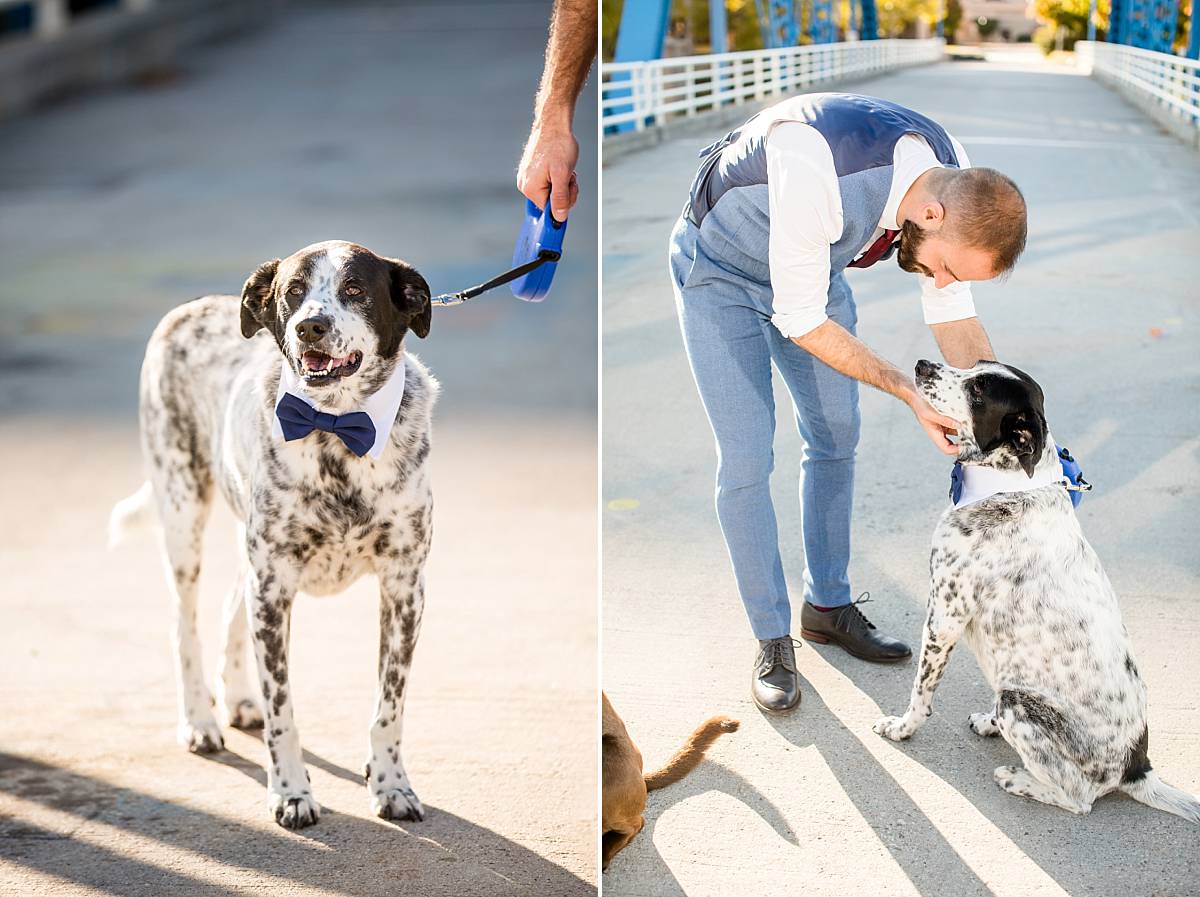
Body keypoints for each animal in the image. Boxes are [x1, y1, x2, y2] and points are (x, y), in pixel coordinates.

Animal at [110, 238, 439, 825]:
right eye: (294, 291)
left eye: (355, 289)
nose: (309, 326)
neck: (336, 428)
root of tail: (190, 307)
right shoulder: (274, 590)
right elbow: (282, 712)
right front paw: (291, 792)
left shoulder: (404, 590)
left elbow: (389, 707)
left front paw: (391, 784)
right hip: (184, 512)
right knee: (184, 624)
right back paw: (199, 720)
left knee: (228, 604)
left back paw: (238, 698)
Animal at [873, 359, 1200, 825]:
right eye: (973, 365)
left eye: (978, 391)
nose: (922, 364)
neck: (1005, 484)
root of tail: (1137, 768)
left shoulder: (943, 619)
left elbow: (921, 693)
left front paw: (901, 728)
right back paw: (989, 724)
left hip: (1019, 704)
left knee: (1079, 798)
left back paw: (1015, 778)